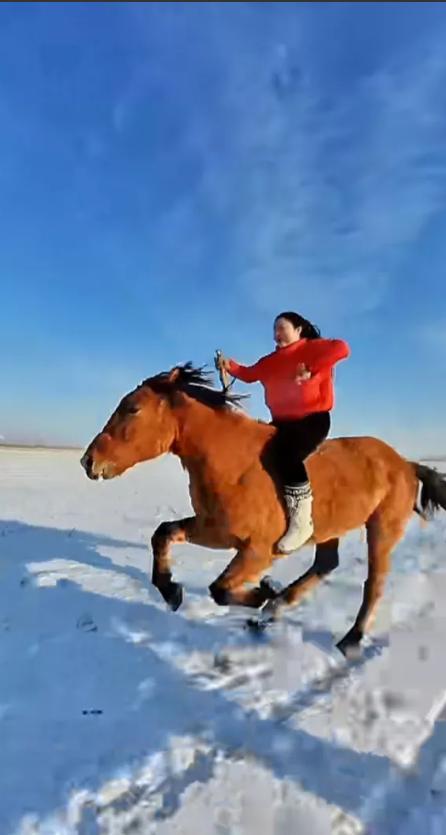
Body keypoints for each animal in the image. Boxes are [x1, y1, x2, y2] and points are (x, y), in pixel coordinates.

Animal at [81, 366, 446, 660]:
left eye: (132, 408)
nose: (88, 461)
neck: (234, 461)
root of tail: (405, 464)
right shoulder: (214, 530)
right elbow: (164, 533)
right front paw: (171, 591)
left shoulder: (258, 550)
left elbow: (220, 589)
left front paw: (263, 591)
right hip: (330, 528)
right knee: (326, 564)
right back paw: (276, 608)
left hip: (382, 529)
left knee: (375, 583)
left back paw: (348, 638)